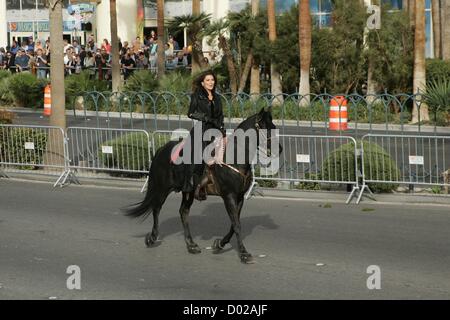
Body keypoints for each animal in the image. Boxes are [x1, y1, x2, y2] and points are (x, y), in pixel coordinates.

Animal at [122, 109, 278, 264]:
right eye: (266, 128)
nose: (280, 149)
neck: (234, 157)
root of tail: (161, 150)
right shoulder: (229, 196)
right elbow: (237, 225)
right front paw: (244, 254)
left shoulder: (239, 197)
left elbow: (234, 224)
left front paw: (219, 244)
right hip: (162, 189)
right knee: (156, 209)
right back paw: (152, 238)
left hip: (188, 192)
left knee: (183, 212)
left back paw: (191, 245)